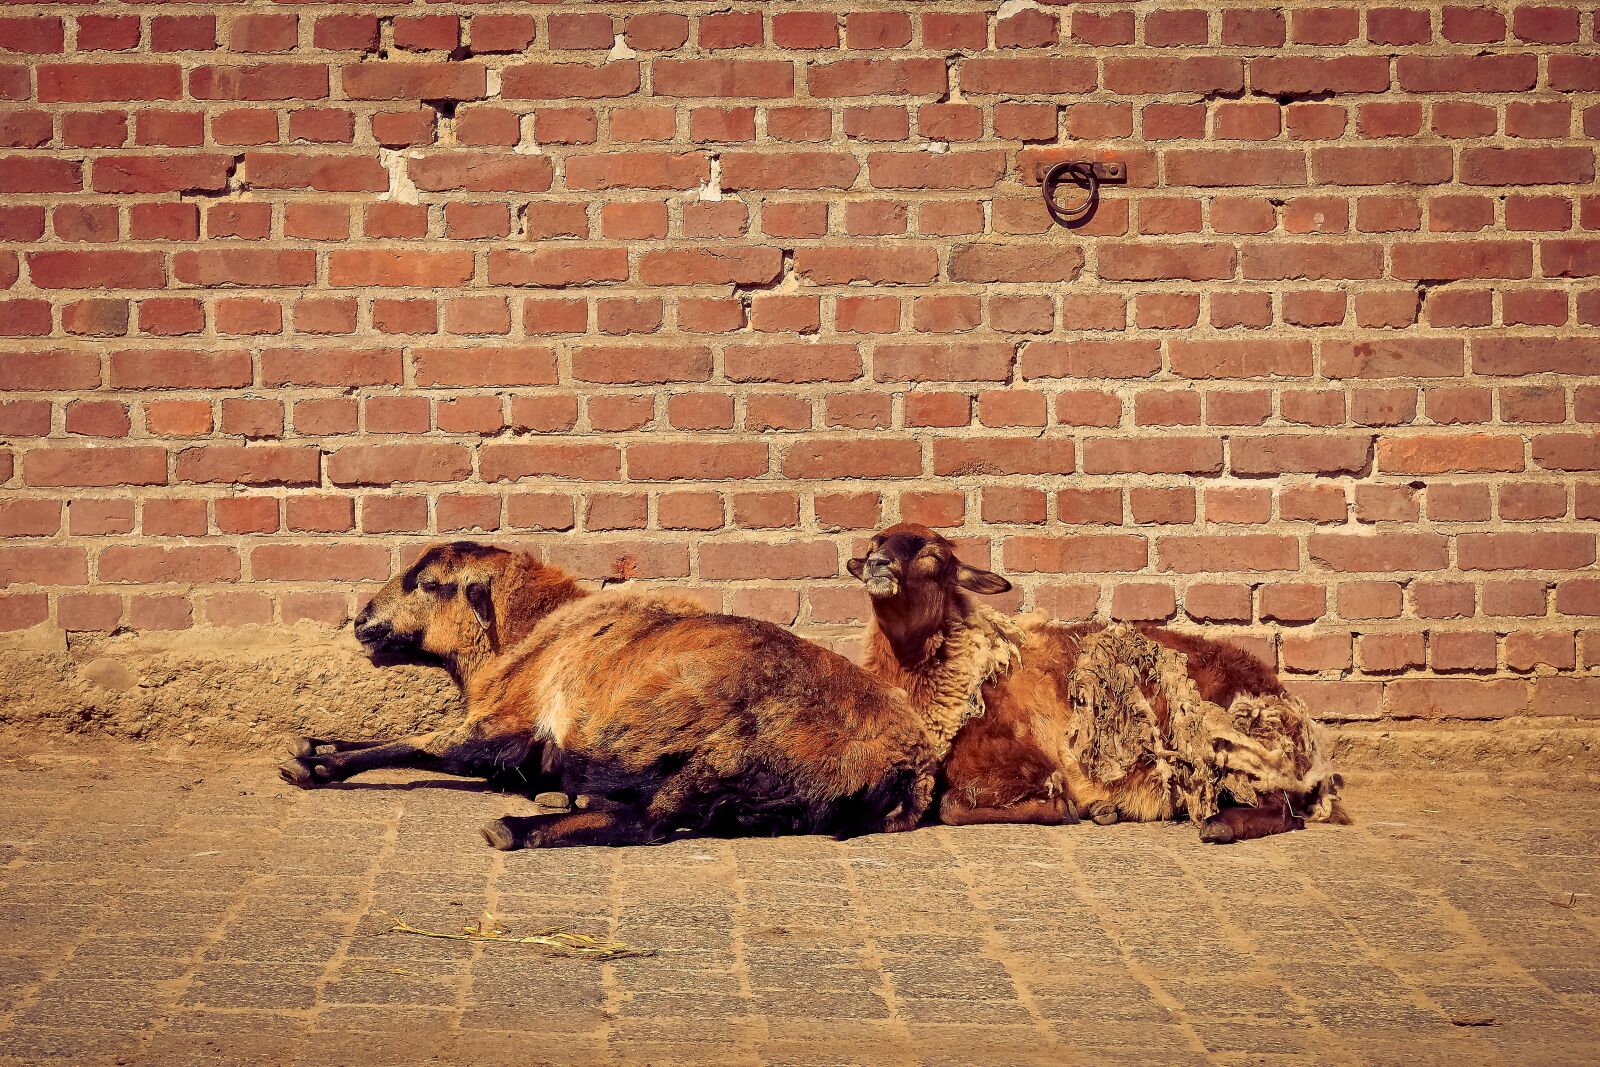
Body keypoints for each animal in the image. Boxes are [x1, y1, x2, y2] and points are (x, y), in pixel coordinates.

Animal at [281, 541, 936, 850]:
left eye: (429, 584)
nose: (362, 620)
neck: (532, 628)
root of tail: (912, 762)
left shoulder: (503, 727)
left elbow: (416, 744)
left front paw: (313, 764)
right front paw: (311, 742)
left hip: (719, 760)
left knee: (648, 822)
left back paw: (516, 828)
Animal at [848, 524, 1346, 843]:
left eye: (933, 557)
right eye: (874, 544)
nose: (877, 564)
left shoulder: (1017, 763)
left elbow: (952, 806)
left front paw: (1071, 808)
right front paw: (1095, 808)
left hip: (1234, 748)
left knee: (1284, 810)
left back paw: (1218, 825)